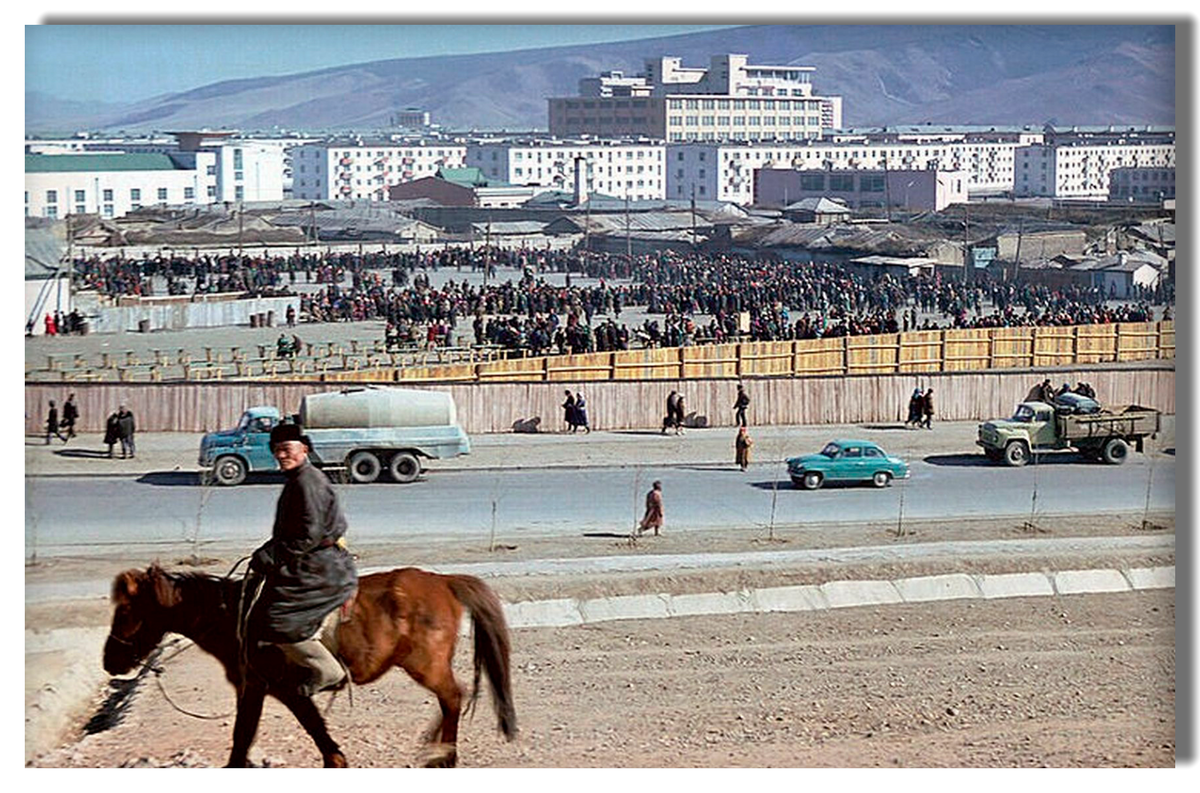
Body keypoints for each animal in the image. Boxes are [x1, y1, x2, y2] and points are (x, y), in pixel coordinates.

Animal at [100, 563, 513, 767]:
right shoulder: (255, 688)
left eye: (127, 613)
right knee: (451, 699)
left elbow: (321, 741)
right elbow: (242, 740)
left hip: (425, 664)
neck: (235, 616)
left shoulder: (287, 690)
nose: (109, 661)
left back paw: (445, 756)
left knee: (454, 697)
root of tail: (443, 581)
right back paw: (433, 748)